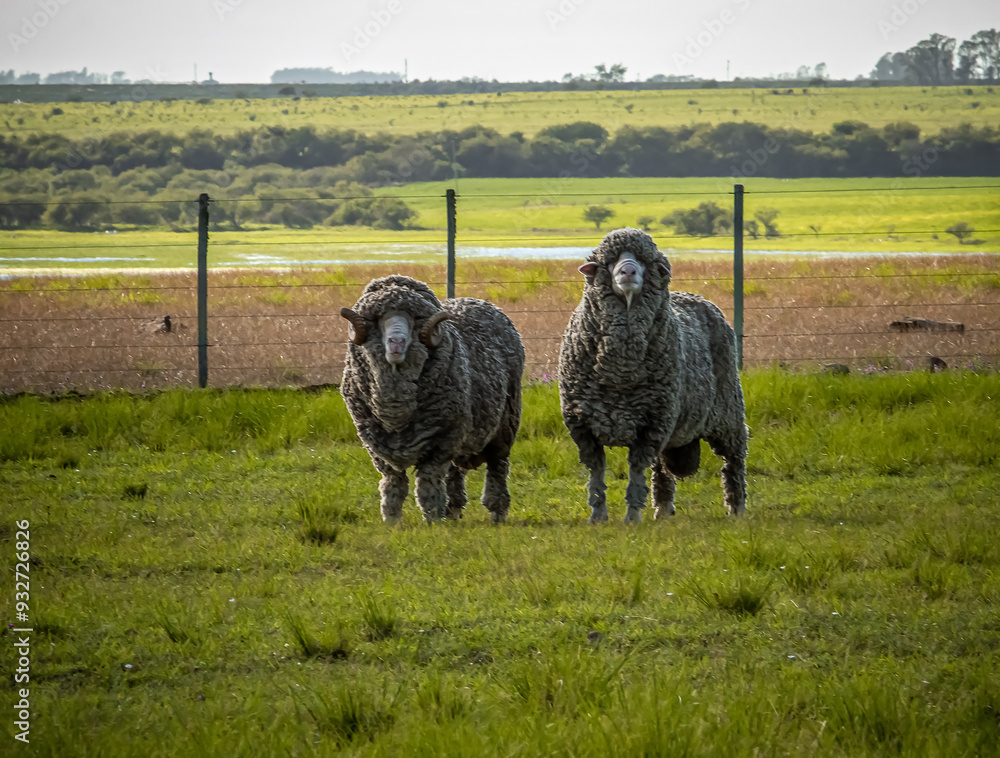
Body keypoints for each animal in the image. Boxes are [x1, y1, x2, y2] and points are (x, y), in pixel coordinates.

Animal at [340, 275, 524, 524]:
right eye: (377, 320)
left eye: (416, 320)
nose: (396, 342)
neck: (396, 411)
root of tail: (481, 302)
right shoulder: (378, 446)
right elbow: (393, 484)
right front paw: (392, 520)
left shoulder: (439, 442)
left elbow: (428, 484)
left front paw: (433, 521)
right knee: (454, 472)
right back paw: (453, 510)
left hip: (504, 423)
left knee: (497, 466)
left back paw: (497, 511)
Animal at [558, 228, 748, 524]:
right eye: (610, 261)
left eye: (645, 261)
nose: (627, 271)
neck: (619, 371)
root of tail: (696, 296)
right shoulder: (584, 427)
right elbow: (596, 474)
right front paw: (598, 516)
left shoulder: (650, 426)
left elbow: (636, 473)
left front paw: (632, 517)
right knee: (662, 470)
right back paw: (663, 509)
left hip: (727, 413)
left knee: (734, 460)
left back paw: (737, 507)